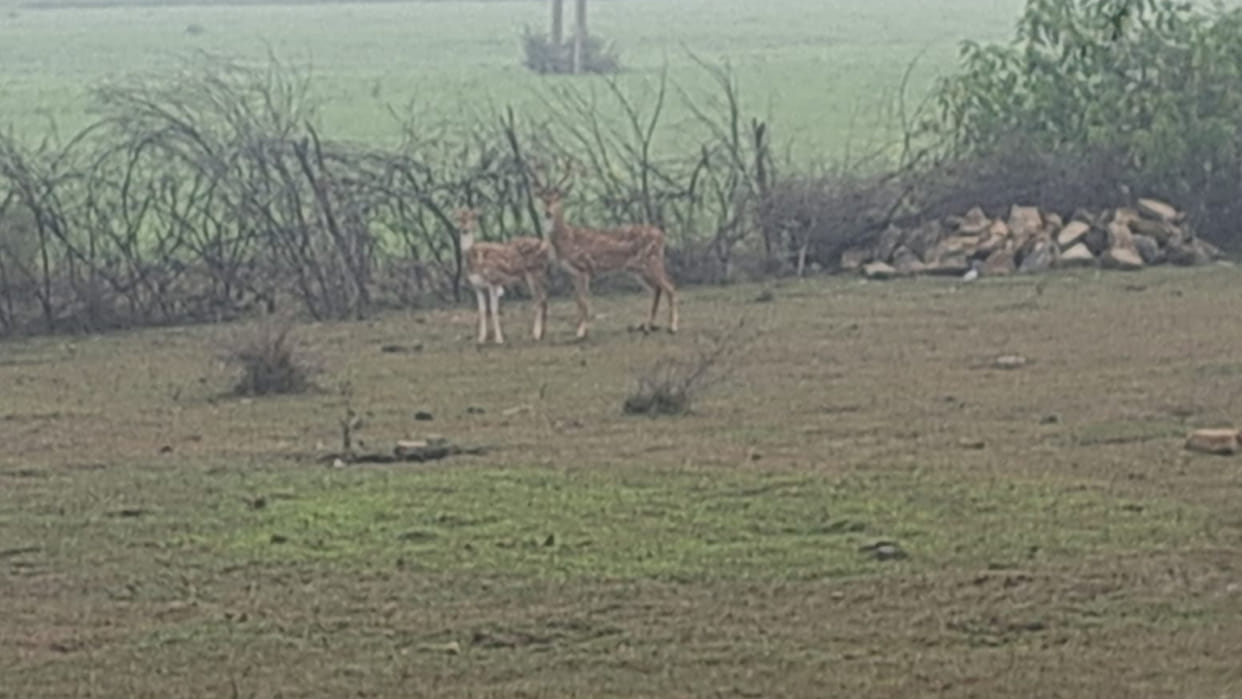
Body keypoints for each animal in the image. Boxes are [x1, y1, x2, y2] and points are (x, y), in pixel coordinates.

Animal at [455, 207, 552, 345]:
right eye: (458, 218)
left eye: (473, 217)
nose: (464, 229)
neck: (475, 260)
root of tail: (546, 247)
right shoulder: (477, 287)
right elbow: (482, 311)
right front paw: (481, 339)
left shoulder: (493, 281)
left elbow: (494, 309)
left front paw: (499, 339)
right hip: (532, 276)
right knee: (543, 298)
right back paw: (541, 334)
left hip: (535, 272)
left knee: (540, 299)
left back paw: (536, 335)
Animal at [528, 160, 678, 340]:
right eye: (543, 199)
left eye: (558, 198)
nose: (548, 213)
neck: (566, 239)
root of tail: (662, 235)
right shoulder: (573, 272)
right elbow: (578, 301)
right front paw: (581, 330)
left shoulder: (584, 267)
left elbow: (584, 302)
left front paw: (581, 333)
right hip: (637, 269)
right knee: (656, 289)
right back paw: (648, 327)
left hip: (651, 261)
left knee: (670, 286)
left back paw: (672, 327)